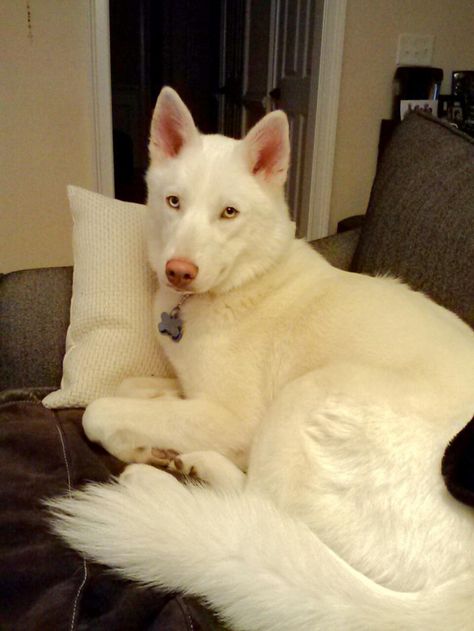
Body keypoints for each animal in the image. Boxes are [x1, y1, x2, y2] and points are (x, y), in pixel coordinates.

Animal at [50, 89, 474, 631]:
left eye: (229, 213)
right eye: (173, 202)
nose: (178, 271)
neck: (243, 280)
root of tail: (456, 595)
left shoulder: (233, 417)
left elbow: (98, 411)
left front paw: (138, 445)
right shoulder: (190, 389)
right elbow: (129, 389)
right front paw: (150, 432)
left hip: (306, 395)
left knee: (258, 510)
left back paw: (167, 480)